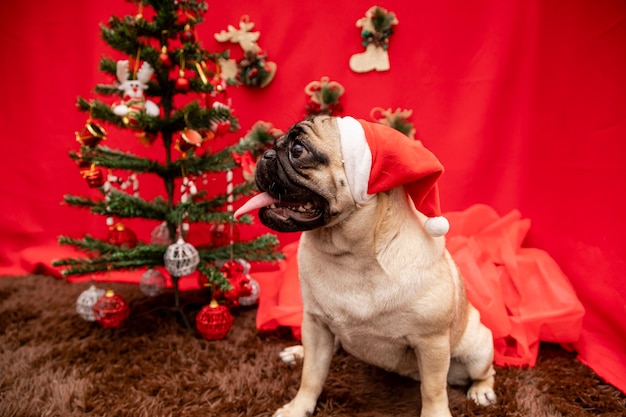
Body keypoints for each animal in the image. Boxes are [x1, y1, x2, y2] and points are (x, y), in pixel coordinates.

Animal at [232, 114, 494, 416]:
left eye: (298, 150)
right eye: (276, 143)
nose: (266, 154)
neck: (350, 255)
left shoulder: (432, 342)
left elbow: (433, 391)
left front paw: (436, 414)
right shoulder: (316, 324)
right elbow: (311, 376)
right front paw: (298, 408)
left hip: (476, 347)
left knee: (485, 371)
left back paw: (482, 391)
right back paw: (298, 352)